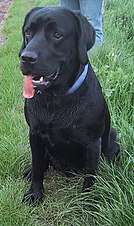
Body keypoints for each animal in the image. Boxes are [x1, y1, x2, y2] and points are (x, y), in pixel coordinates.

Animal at [19, 6, 119, 205]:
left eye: (57, 35)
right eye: (28, 32)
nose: (26, 58)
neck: (54, 101)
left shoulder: (92, 143)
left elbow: (89, 178)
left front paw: (87, 204)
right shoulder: (34, 133)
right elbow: (37, 166)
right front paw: (35, 193)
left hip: (112, 136)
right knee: (42, 163)